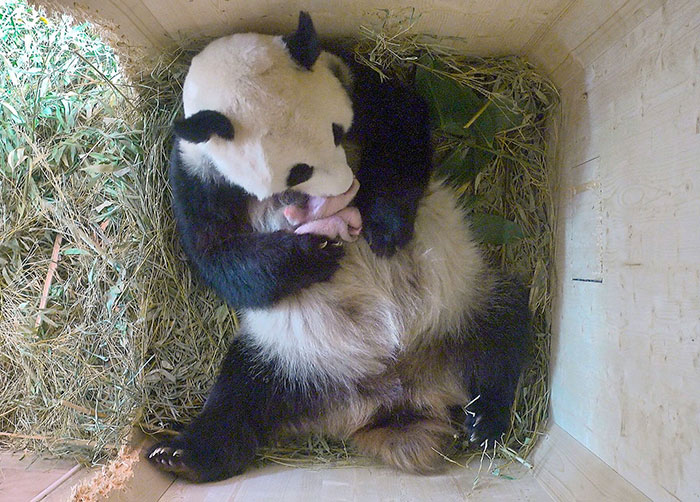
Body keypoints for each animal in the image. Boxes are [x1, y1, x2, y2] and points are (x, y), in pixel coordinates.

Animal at [146, 12, 532, 483]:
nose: (347, 188)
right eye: (297, 171)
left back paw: (486, 419)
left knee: (501, 333)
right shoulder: (196, 171)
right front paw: (313, 253)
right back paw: (184, 454)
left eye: (337, 132)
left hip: (462, 301)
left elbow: (401, 121)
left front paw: (382, 225)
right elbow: (218, 256)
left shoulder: (349, 76)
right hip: (288, 357)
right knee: (239, 398)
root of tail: (396, 395)